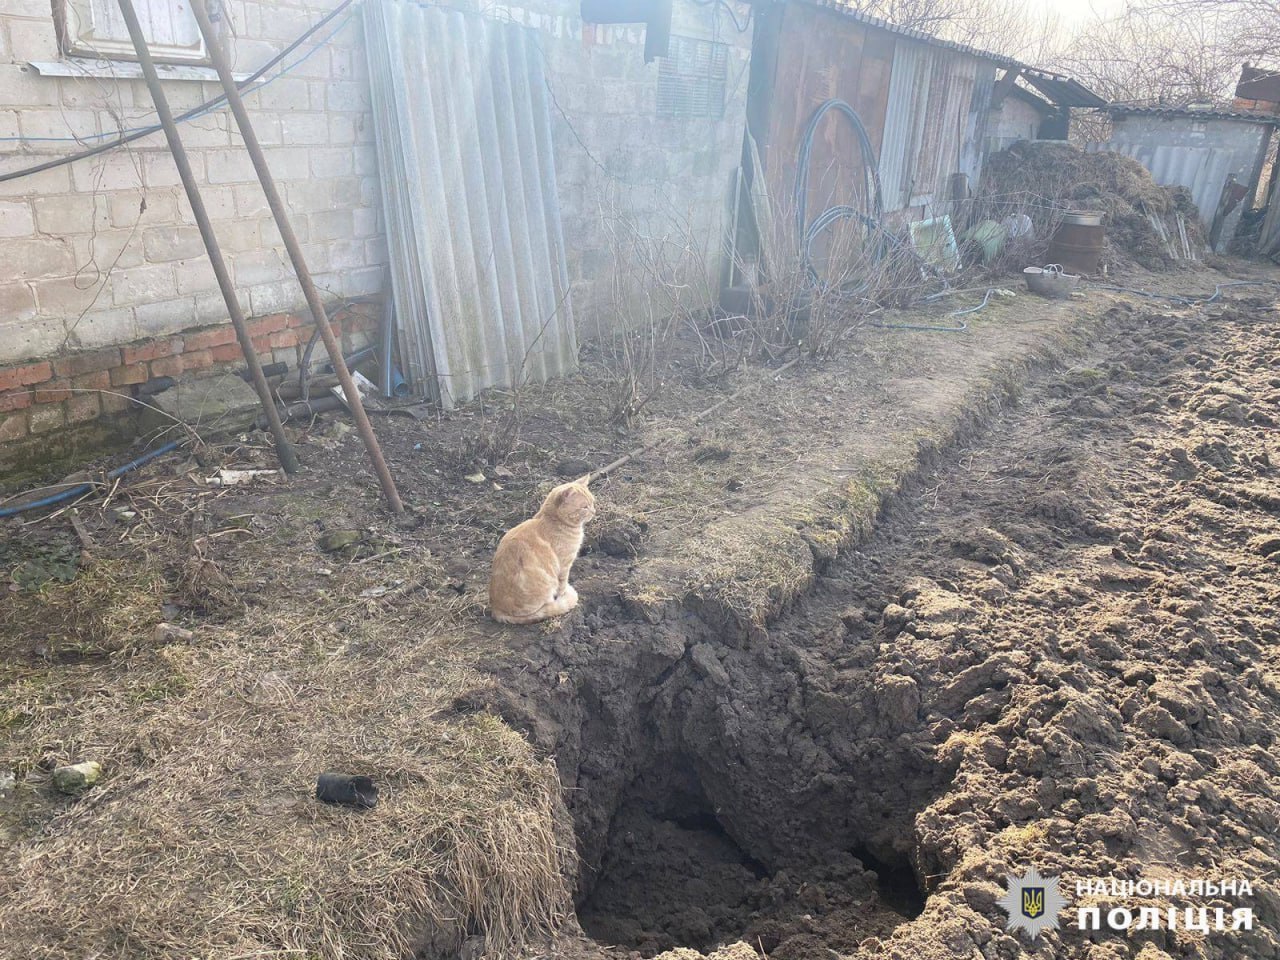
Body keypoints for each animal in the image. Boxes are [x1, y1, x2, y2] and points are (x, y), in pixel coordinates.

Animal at [488, 473, 593, 624]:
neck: (553, 520)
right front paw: (564, 593)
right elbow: (562, 584)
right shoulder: (564, 565)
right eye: (584, 507)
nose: (594, 512)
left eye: (593, 503)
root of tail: (496, 610)